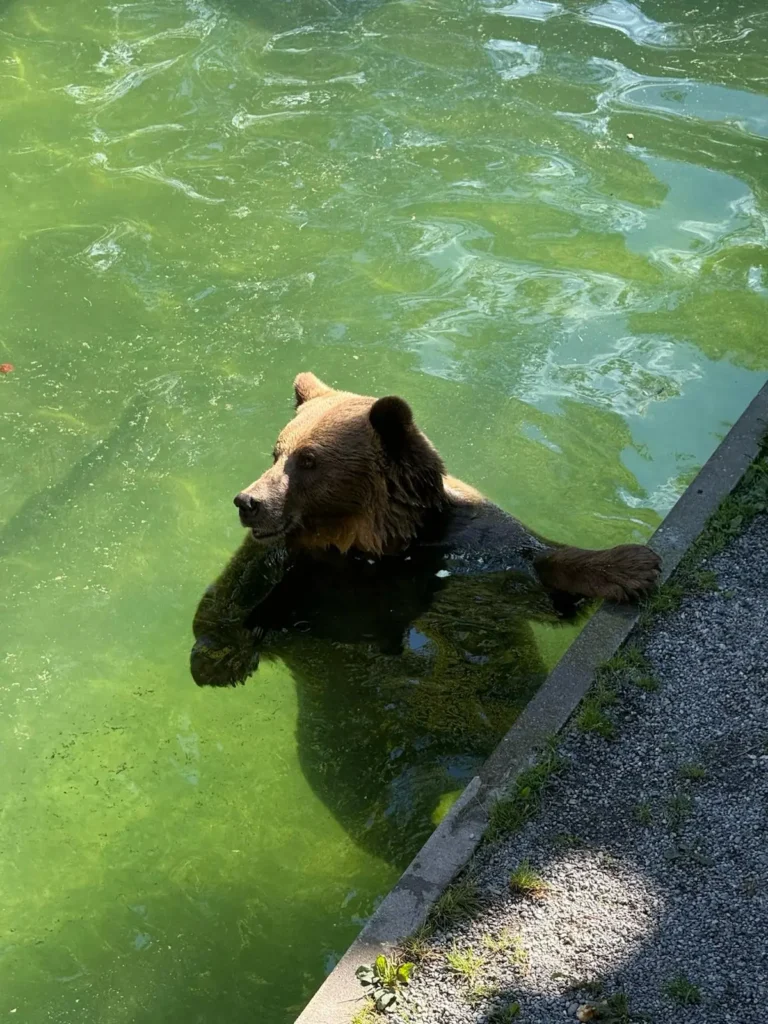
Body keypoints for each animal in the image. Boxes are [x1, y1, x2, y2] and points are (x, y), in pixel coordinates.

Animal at [190, 372, 660, 865]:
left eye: (308, 459)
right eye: (277, 452)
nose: (248, 501)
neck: (375, 546)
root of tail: (453, 770)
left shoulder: (467, 546)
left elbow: (536, 572)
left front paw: (633, 565)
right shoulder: (292, 568)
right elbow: (232, 597)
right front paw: (219, 658)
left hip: (493, 703)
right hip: (348, 747)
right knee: (378, 809)